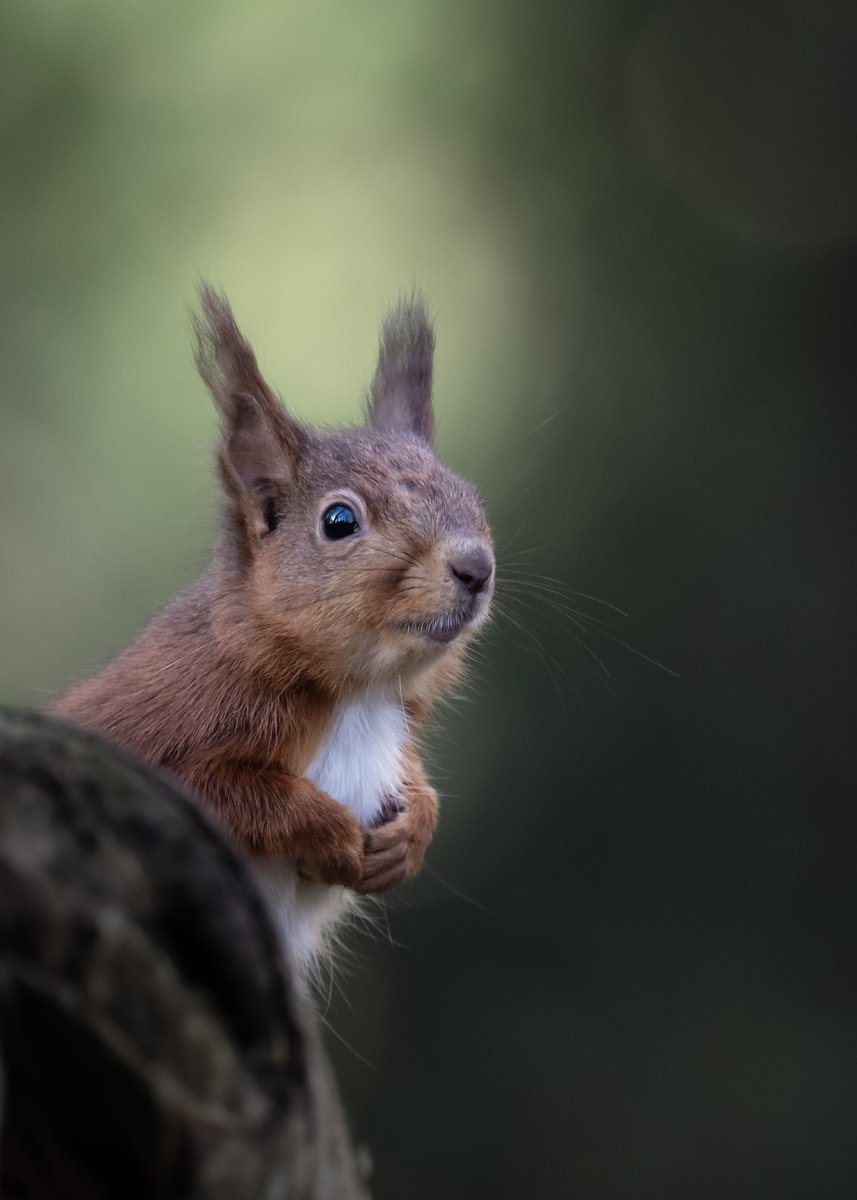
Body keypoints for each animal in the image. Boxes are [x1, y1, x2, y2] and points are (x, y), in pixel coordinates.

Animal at [50, 285, 494, 973]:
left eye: (473, 499)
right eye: (339, 521)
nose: (477, 567)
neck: (360, 695)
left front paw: (415, 827)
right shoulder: (163, 733)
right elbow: (223, 791)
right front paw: (330, 832)